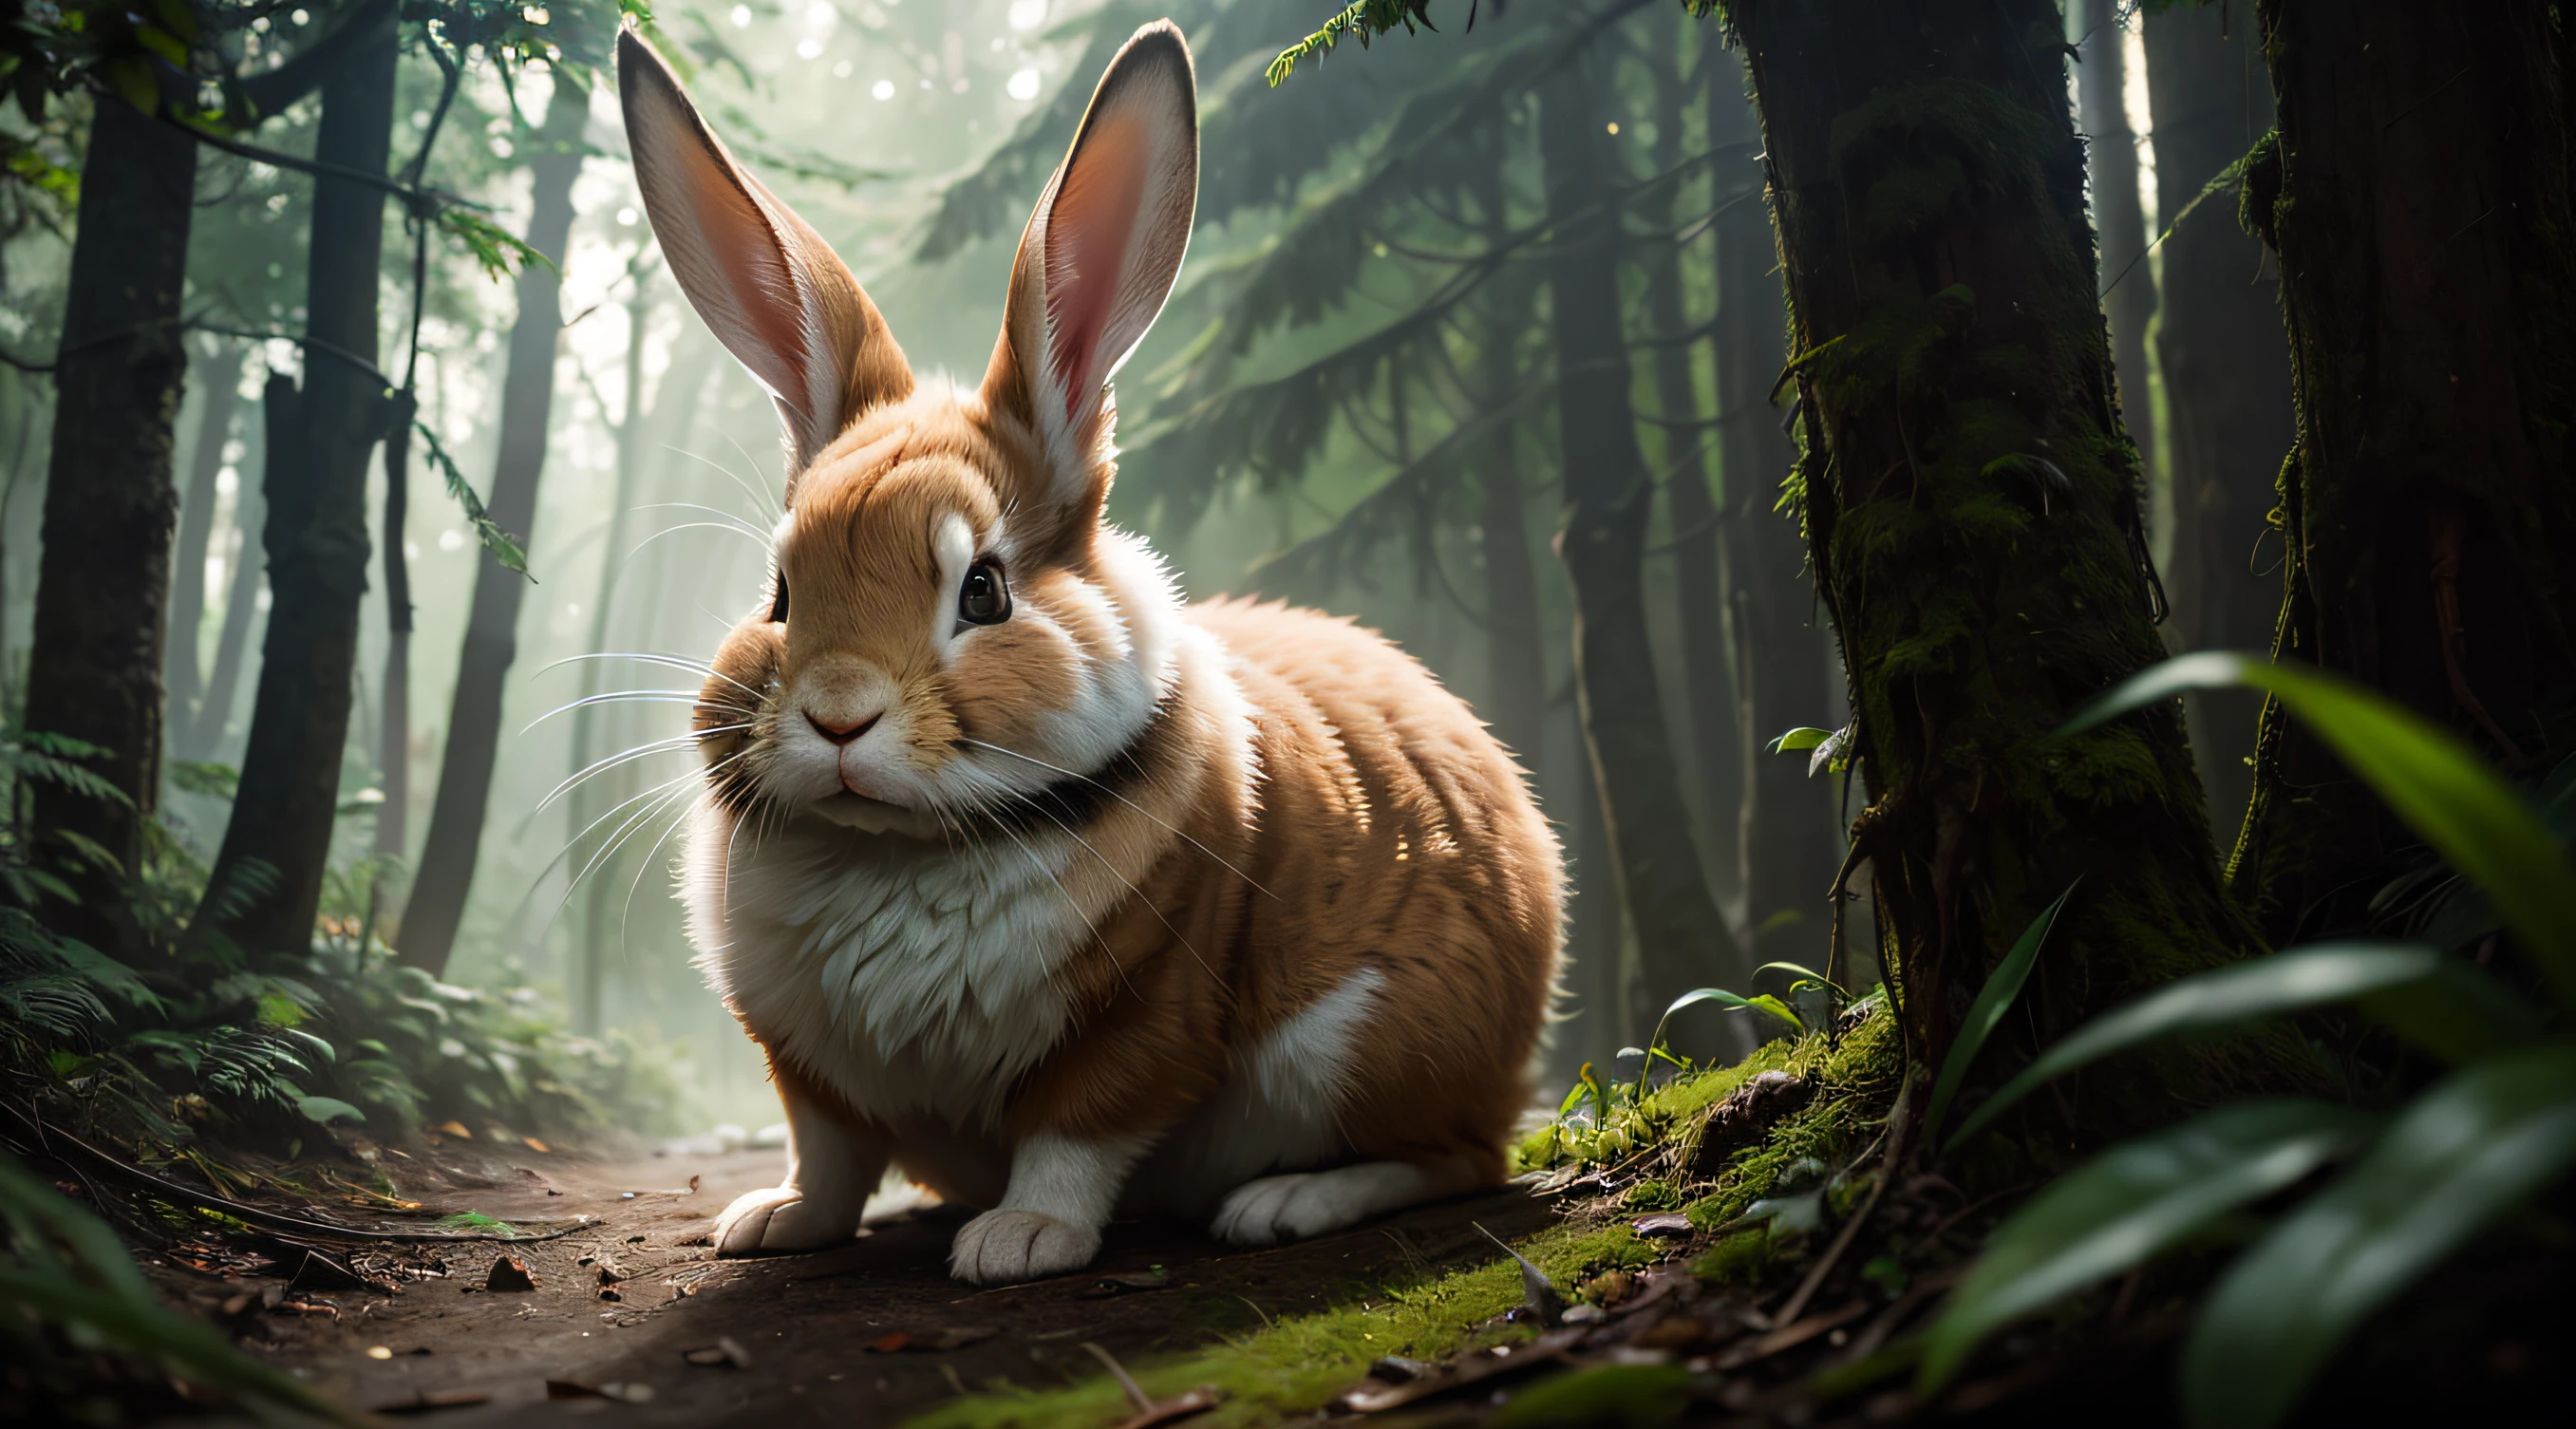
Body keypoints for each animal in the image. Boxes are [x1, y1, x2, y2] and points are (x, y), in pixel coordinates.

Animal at [615, 18, 1562, 1287]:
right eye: (779, 591)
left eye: (982, 588)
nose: (836, 715)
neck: (899, 850)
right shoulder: (806, 1065)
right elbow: (828, 1152)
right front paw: (771, 1222)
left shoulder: (1141, 1015)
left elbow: (1076, 1133)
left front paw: (1016, 1240)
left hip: (1375, 1043)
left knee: (1462, 1155)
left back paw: (1286, 1202)